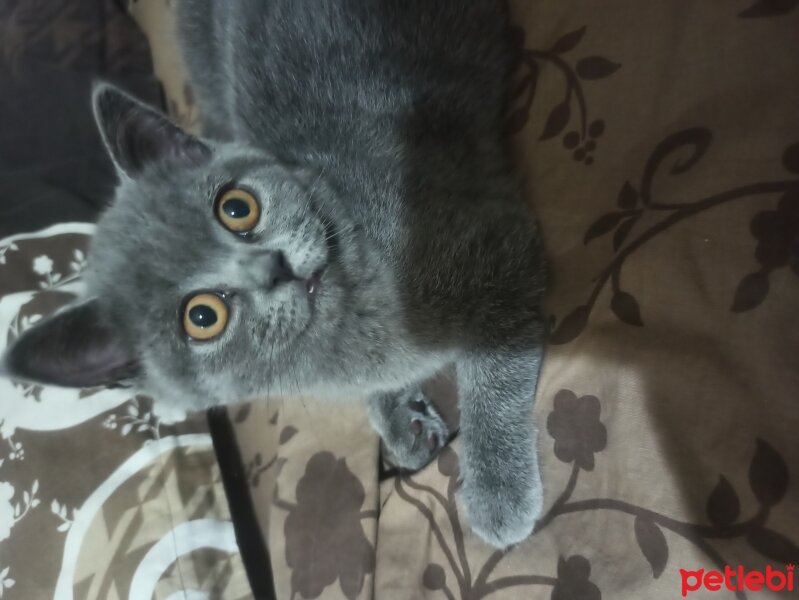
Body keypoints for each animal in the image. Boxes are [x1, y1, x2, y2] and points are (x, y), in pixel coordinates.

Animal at [0, 0, 548, 548]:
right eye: (202, 317)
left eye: (236, 208)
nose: (274, 267)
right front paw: (400, 420)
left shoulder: (496, 243)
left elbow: (495, 367)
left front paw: (497, 490)